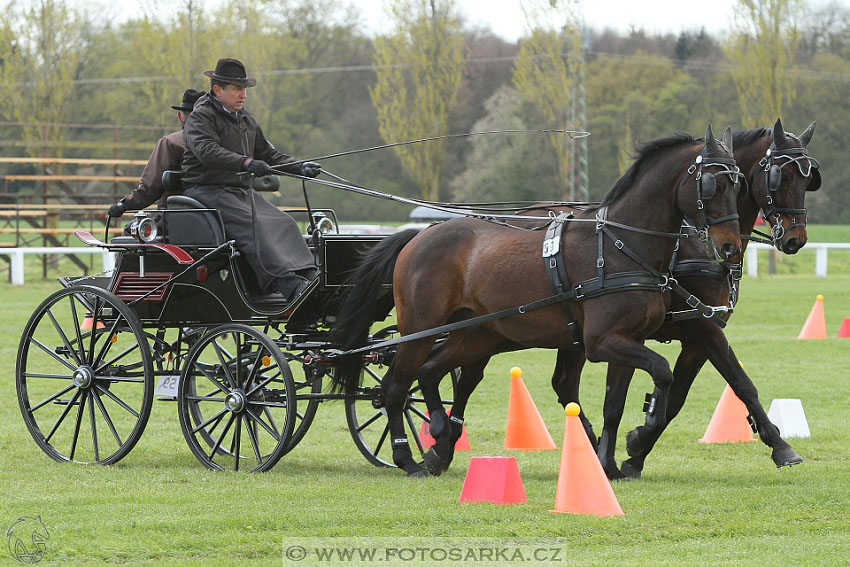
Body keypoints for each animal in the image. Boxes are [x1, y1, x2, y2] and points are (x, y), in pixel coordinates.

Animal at [334, 125, 740, 480]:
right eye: (712, 183)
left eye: (738, 183)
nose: (730, 247)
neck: (620, 245)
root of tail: (419, 235)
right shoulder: (601, 342)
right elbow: (662, 370)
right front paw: (643, 432)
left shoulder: (630, 339)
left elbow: (617, 402)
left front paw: (612, 462)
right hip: (420, 329)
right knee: (395, 388)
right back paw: (408, 457)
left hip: (475, 334)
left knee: (431, 372)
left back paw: (438, 435)